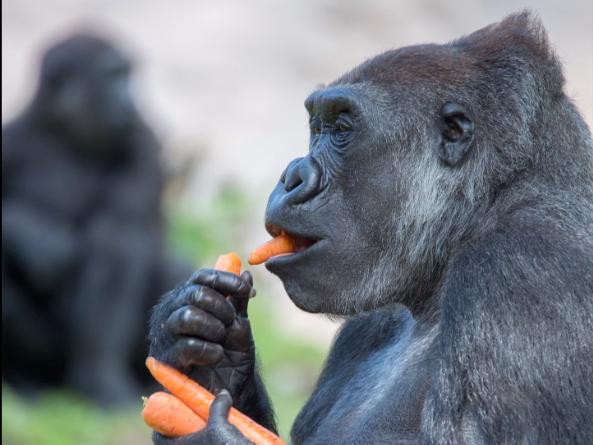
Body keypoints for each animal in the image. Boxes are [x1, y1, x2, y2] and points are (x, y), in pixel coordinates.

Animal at [1, 33, 192, 406]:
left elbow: (117, 246)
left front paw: (98, 374)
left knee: (172, 267)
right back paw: (24, 380)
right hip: (51, 356)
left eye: (127, 75)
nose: (131, 101)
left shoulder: (143, 144)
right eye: (112, 76)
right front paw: (35, 236)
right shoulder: (9, 141)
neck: (64, 131)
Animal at [148, 13, 592, 444]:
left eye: (342, 129)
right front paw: (206, 347)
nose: (292, 176)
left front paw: (215, 435)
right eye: (318, 127)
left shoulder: (517, 275)